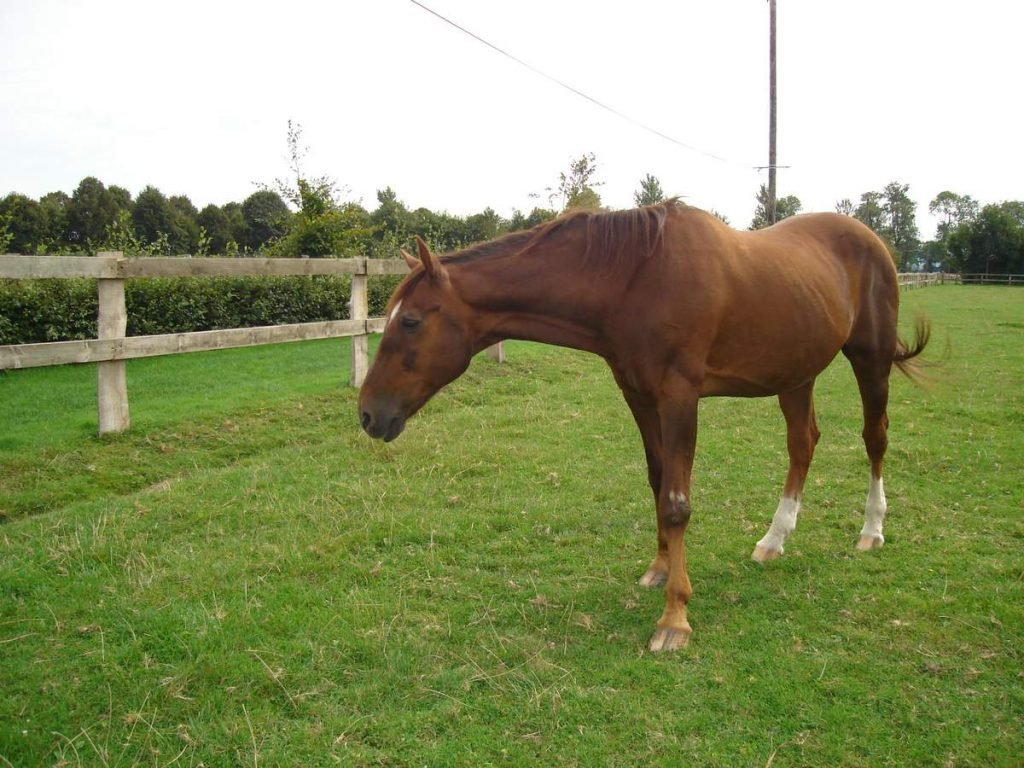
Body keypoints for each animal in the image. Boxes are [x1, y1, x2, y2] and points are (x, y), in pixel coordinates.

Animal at [358, 201, 929, 651]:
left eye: (410, 321)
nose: (368, 414)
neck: (634, 278)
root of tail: (871, 240)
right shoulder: (637, 395)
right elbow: (658, 482)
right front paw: (659, 568)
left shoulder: (679, 398)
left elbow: (677, 503)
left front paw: (675, 617)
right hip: (796, 372)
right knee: (802, 444)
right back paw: (774, 539)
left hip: (870, 359)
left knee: (875, 438)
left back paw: (871, 530)